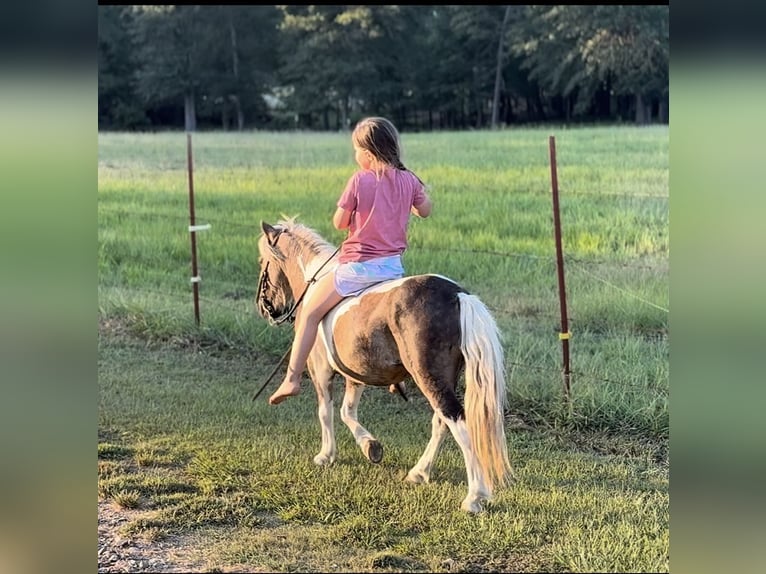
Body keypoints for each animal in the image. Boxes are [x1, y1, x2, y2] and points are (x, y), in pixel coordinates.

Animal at [255, 217, 512, 513]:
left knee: (457, 421)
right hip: (444, 376)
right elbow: (347, 411)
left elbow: (326, 412)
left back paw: (474, 497)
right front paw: (371, 447)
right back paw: (419, 473)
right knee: (441, 421)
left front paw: (326, 455)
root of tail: (458, 295)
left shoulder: (321, 369)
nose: (264, 308)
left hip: (428, 376)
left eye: (263, 262)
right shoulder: (355, 375)